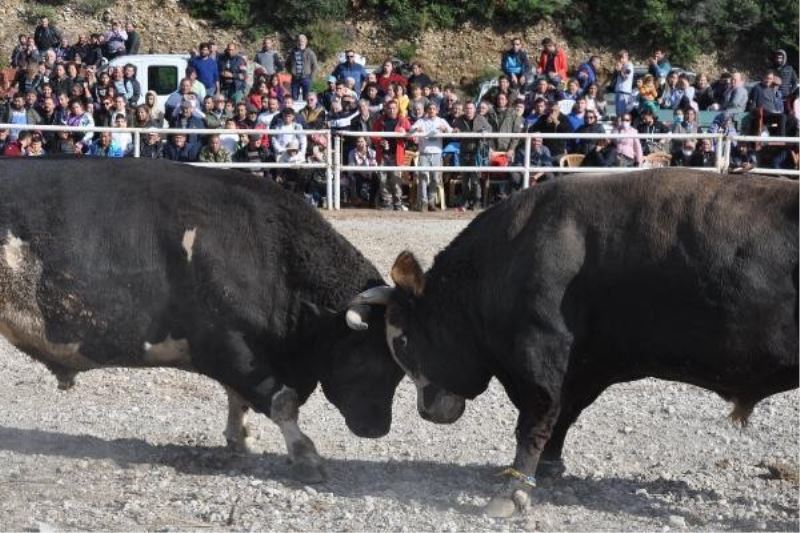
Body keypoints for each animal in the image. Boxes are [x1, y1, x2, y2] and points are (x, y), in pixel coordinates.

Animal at [350, 169, 800, 516]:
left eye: (403, 341)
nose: (427, 411)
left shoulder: (540, 354)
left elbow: (535, 421)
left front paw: (513, 491)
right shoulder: (584, 366)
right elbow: (563, 416)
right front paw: (548, 468)